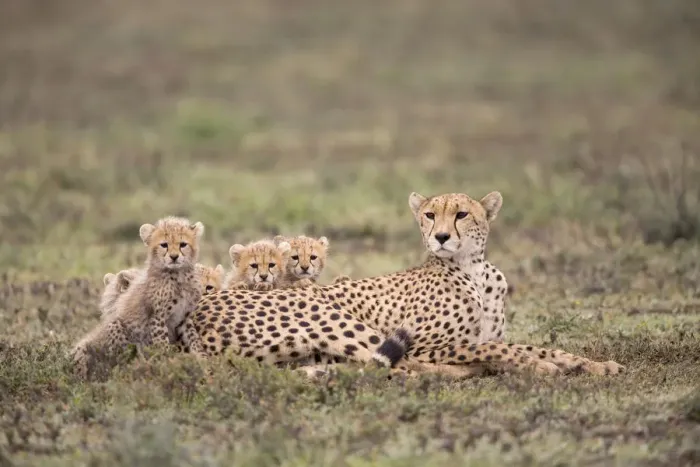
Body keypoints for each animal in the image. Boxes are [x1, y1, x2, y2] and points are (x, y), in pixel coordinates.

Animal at [70, 216, 207, 378]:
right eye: (164, 245)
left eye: (183, 244)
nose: (174, 257)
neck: (178, 276)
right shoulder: (157, 319)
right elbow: (162, 344)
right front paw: (169, 363)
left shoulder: (184, 317)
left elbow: (193, 337)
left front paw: (202, 358)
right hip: (115, 326)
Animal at [178, 190, 624, 378]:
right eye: (429, 215)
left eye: (461, 214)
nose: (440, 236)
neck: (473, 268)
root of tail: (193, 318)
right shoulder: (431, 342)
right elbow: (500, 348)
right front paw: (542, 366)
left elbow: (531, 345)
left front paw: (594, 365)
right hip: (335, 321)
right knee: (400, 366)